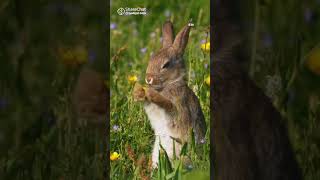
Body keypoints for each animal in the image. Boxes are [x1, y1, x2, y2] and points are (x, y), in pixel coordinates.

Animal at [132, 20, 208, 167]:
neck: (169, 84)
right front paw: (138, 93)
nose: (148, 78)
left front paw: (151, 93)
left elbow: (167, 104)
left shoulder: (178, 105)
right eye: (151, 58)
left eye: (166, 65)